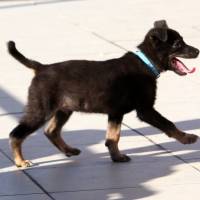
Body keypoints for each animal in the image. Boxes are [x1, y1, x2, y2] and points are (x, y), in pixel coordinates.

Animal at [7, 19, 198, 167]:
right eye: (177, 44)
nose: (197, 51)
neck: (146, 63)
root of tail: (41, 67)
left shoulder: (115, 113)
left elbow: (113, 137)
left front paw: (117, 157)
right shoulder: (145, 110)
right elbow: (168, 124)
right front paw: (187, 138)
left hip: (64, 109)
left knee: (51, 131)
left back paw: (69, 150)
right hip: (41, 110)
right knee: (16, 134)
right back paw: (20, 161)